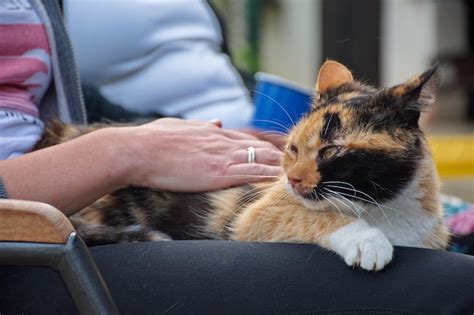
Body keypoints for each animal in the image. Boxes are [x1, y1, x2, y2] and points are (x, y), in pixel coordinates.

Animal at [36, 61, 448, 272]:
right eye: (292, 149)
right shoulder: (255, 213)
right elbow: (307, 214)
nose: (292, 179)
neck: (386, 210)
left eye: (331, 150)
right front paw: (366, 240)